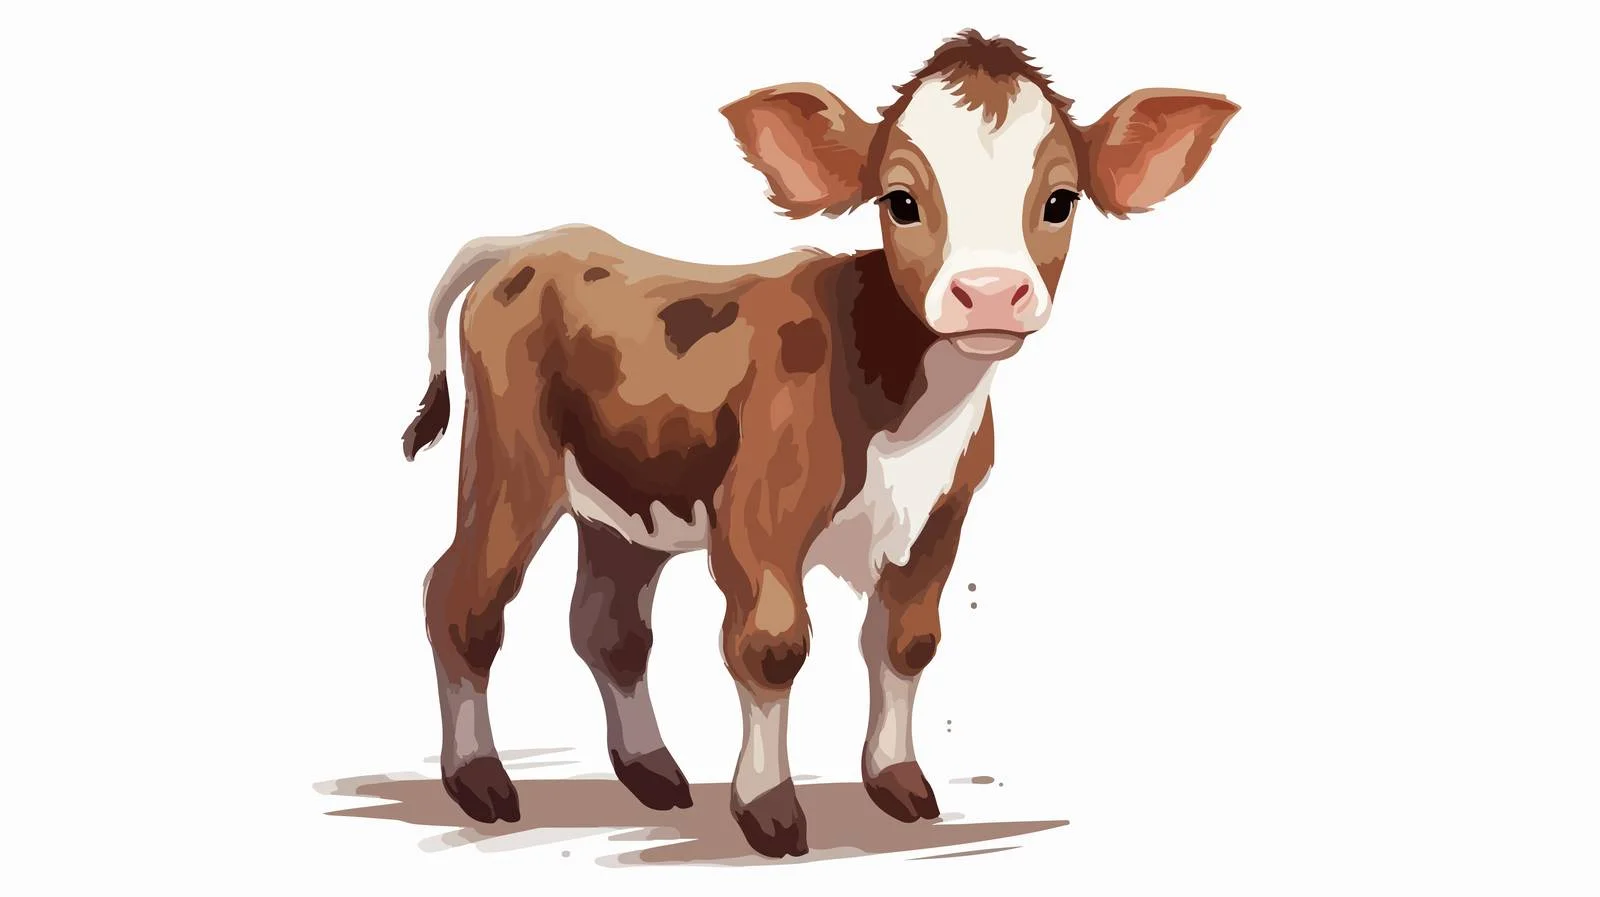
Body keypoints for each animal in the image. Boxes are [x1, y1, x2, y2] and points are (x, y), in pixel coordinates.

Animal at [400, 29, 1237, 858]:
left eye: (1061, 200)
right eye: (900, 201)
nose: (992, 293)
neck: (909, 415)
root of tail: (532, 243)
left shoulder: (943, 517)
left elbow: (908, 641)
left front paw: (898, 781)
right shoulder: (757, 515)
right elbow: (772, 645)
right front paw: (767, 806)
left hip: (626, 506)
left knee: (609, 627)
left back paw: (652, 771)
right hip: (511, 466)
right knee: (463, 597)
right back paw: (478, 779)